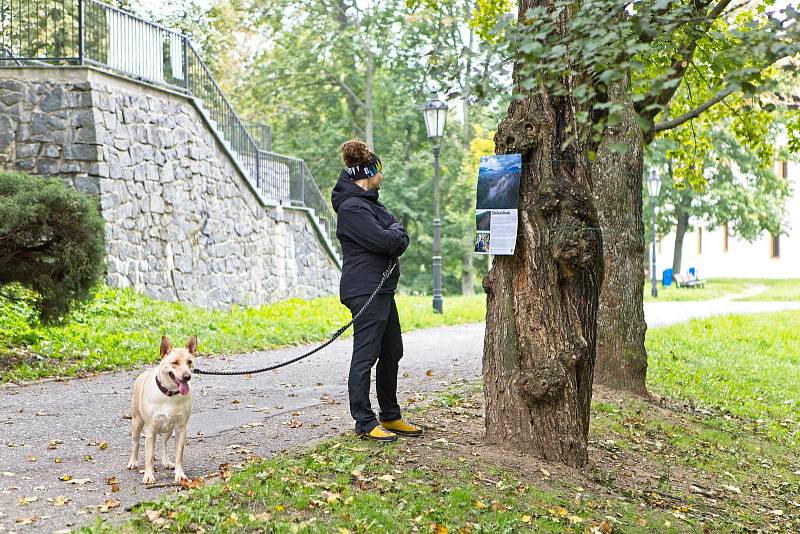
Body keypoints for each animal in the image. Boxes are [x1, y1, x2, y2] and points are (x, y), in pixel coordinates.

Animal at [130, 340, 197, 486]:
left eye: (189, 362)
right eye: (175, 362)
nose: (187, 376)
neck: (169, 394)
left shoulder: (181, 428)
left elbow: (179, 455)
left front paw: (179, 474)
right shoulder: (150, 430)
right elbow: (149, 456)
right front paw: (148, 475)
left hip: (169, 429)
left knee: (163, 443)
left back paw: (166, 462)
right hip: (137, 423)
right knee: (136, 443)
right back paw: (133, 461)